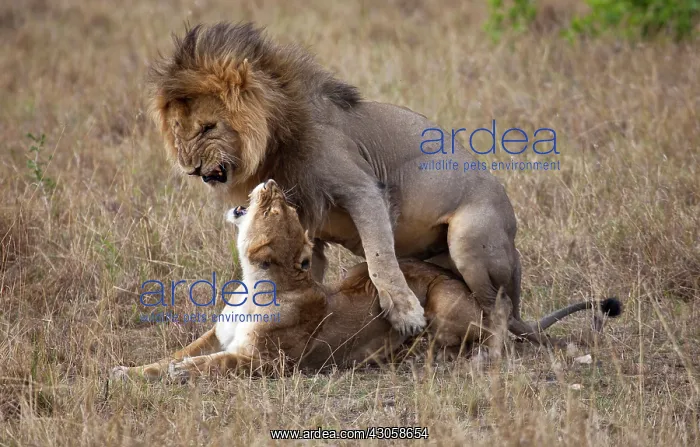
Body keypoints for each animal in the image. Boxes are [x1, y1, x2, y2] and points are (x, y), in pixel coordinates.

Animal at [111, 180, 622, 381]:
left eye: (277, 207)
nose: (271, 182)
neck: (252, 284)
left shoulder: (266, 363)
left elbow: (208, 364)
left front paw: (180, 373)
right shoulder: (216, 335)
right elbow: (172, 355)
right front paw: (126, 371)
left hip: (446, 301)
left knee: (469, 337)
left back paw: (413, 352)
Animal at [147, 22, 578, 340]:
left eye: (208, 127)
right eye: (179, 129)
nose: (189, 167)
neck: (275, 141)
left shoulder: (363, 189)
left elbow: (379, 255)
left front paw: (404, 313)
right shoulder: (306, 222)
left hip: (470, 237)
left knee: (498, 309)